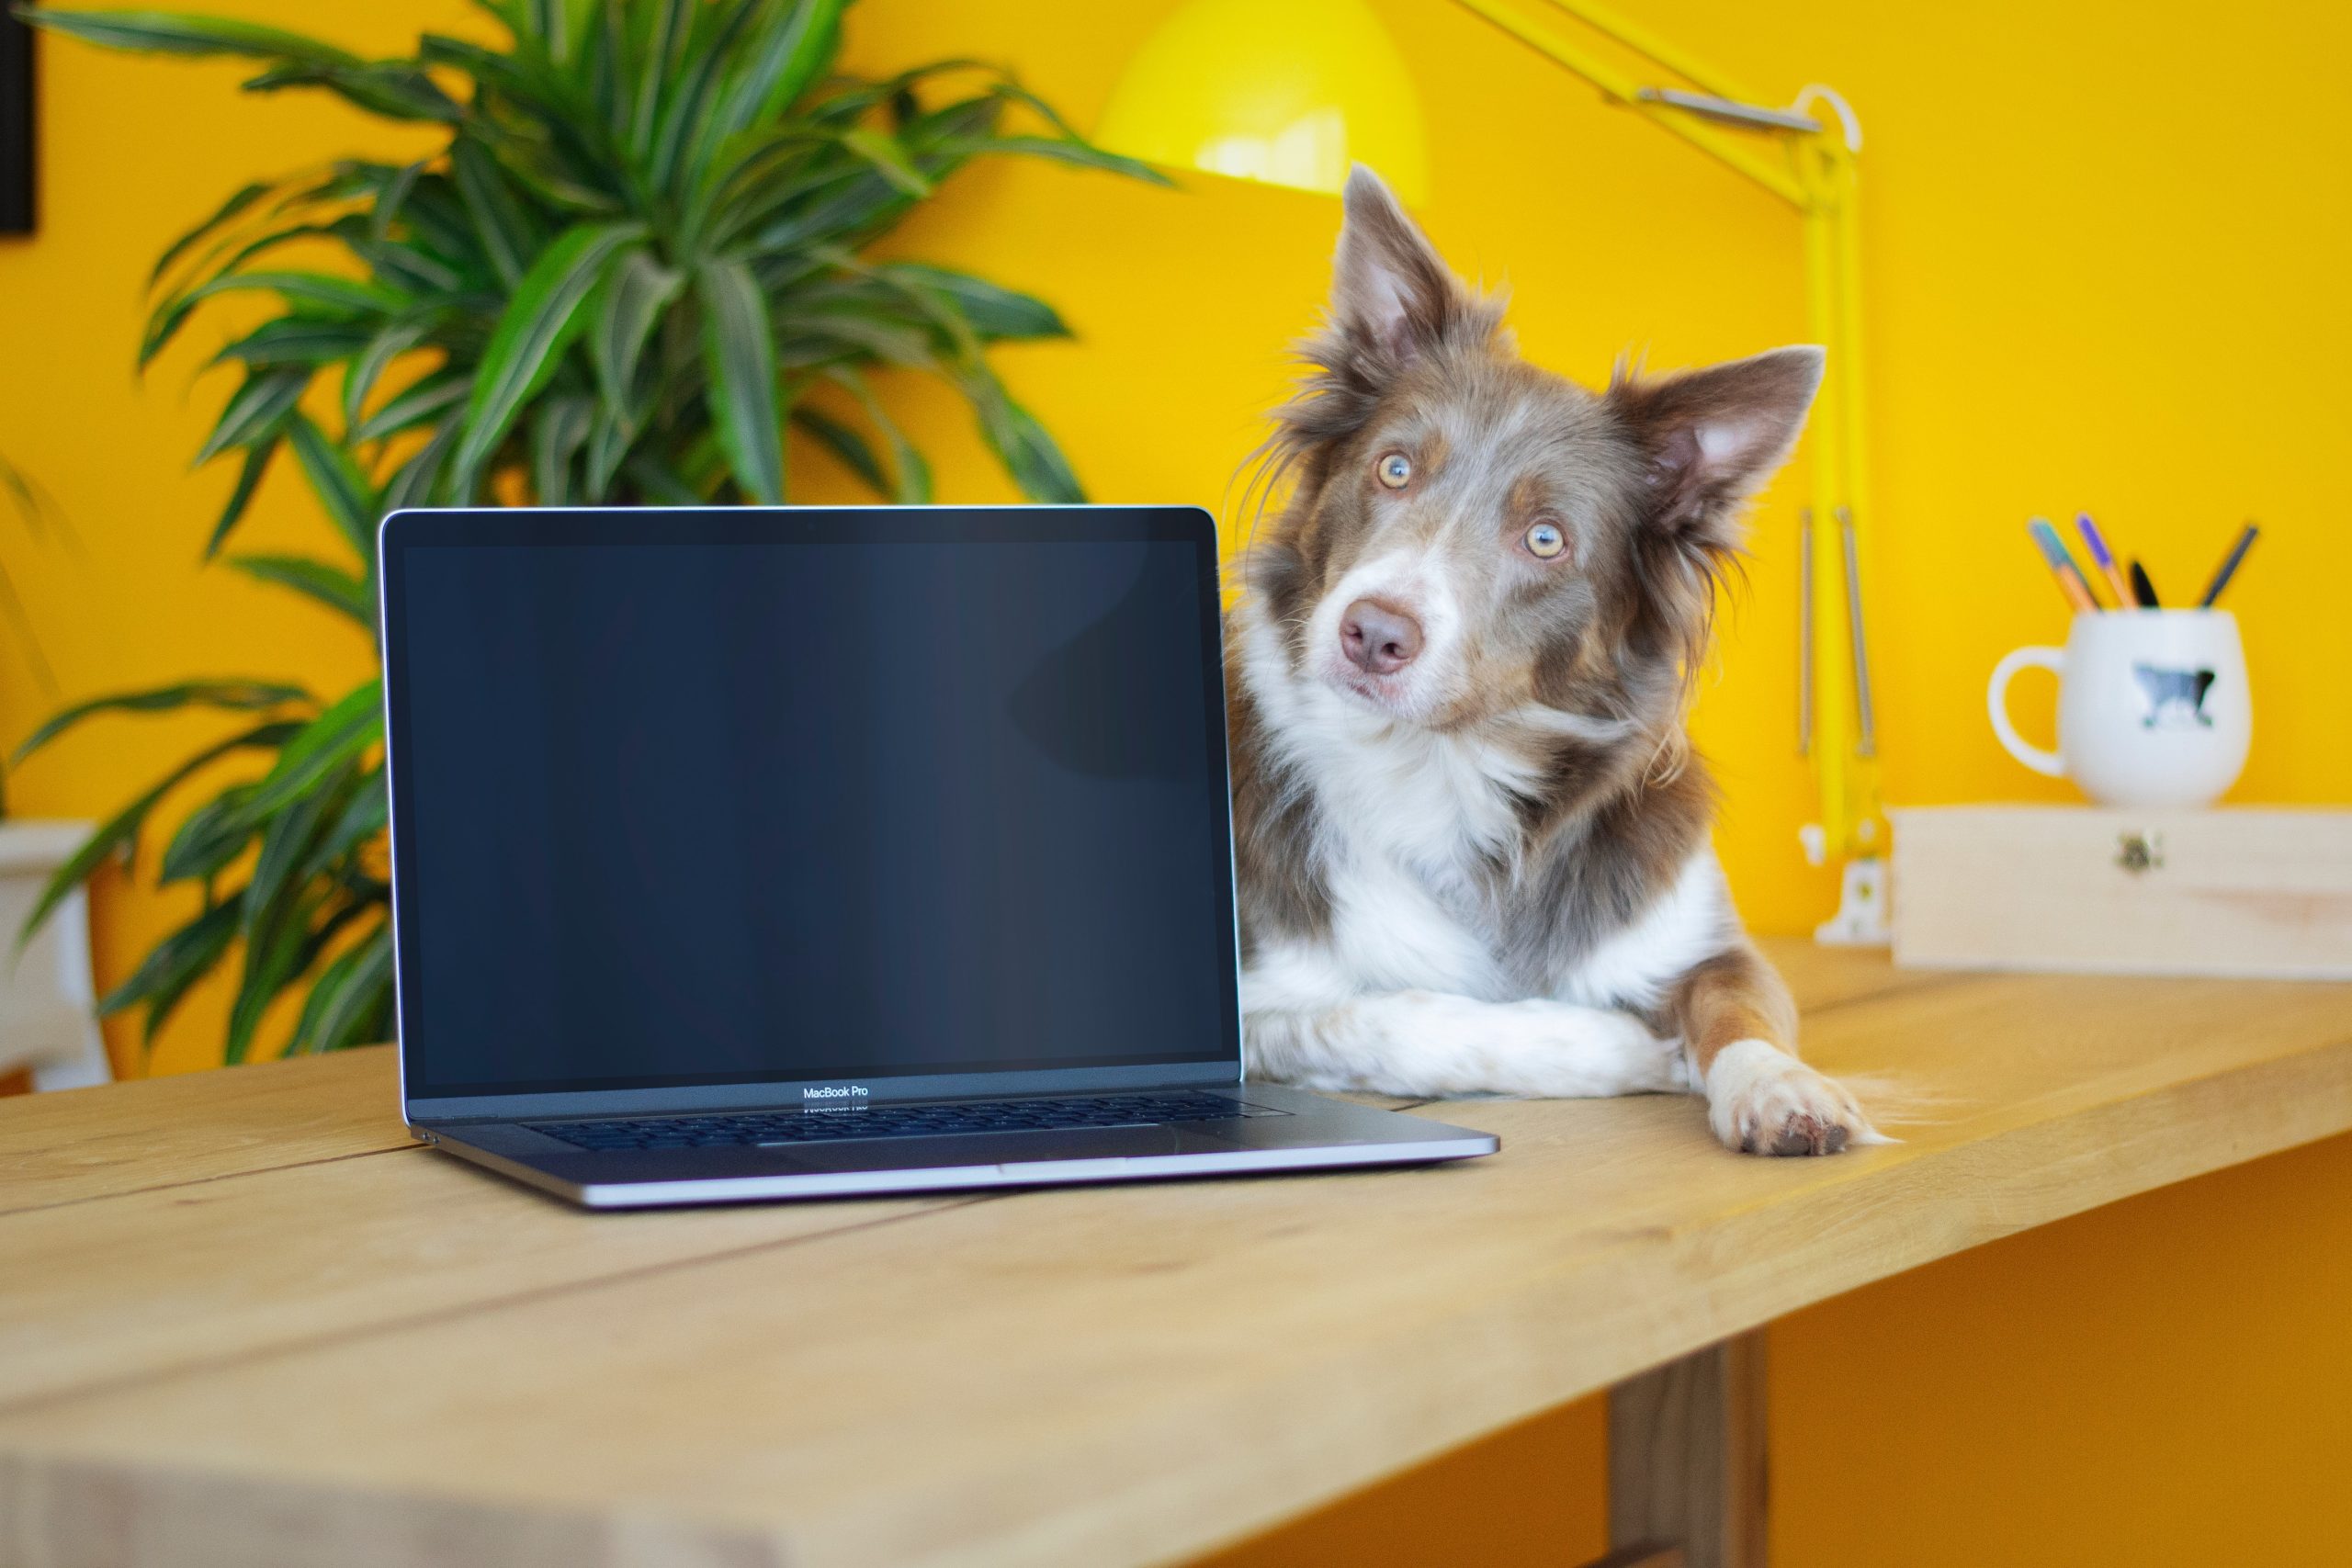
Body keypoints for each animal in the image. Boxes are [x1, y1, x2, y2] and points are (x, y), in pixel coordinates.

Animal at [1232, 169, 1871, 1152]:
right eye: (1394, 469)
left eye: (1545, 538)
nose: (1372, 633)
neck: (1449, 772)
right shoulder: (1253, 1006)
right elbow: (1390, 1016)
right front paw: (1623, 1048)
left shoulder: (1710, 941)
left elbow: (1740, 1007)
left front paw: (1781, 1086)